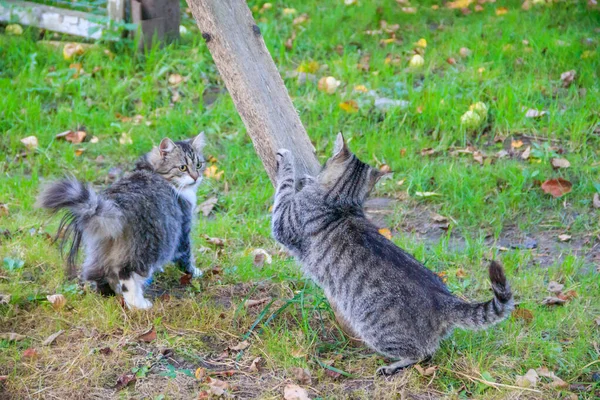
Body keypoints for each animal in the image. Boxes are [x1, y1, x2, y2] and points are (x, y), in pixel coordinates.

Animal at [38, 134, 206, 310]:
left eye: (199, 165)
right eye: (183, 168)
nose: (196, 177)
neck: (152, 170)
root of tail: (116, 204)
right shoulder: (183, 229)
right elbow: (186, 257)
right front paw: (195, 271)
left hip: (101, 248)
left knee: (96, 274)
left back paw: (112, 293)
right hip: (150, 246)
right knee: (127, 274)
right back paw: (139, 305)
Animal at [274, 134, 512, 376]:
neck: (341, 201)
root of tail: (444, 299)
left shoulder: (282, 222)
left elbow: (284, 186)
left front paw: (288, 162)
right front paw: (307, 178)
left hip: (377, 330)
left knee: (421, 354)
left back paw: (392, 366)